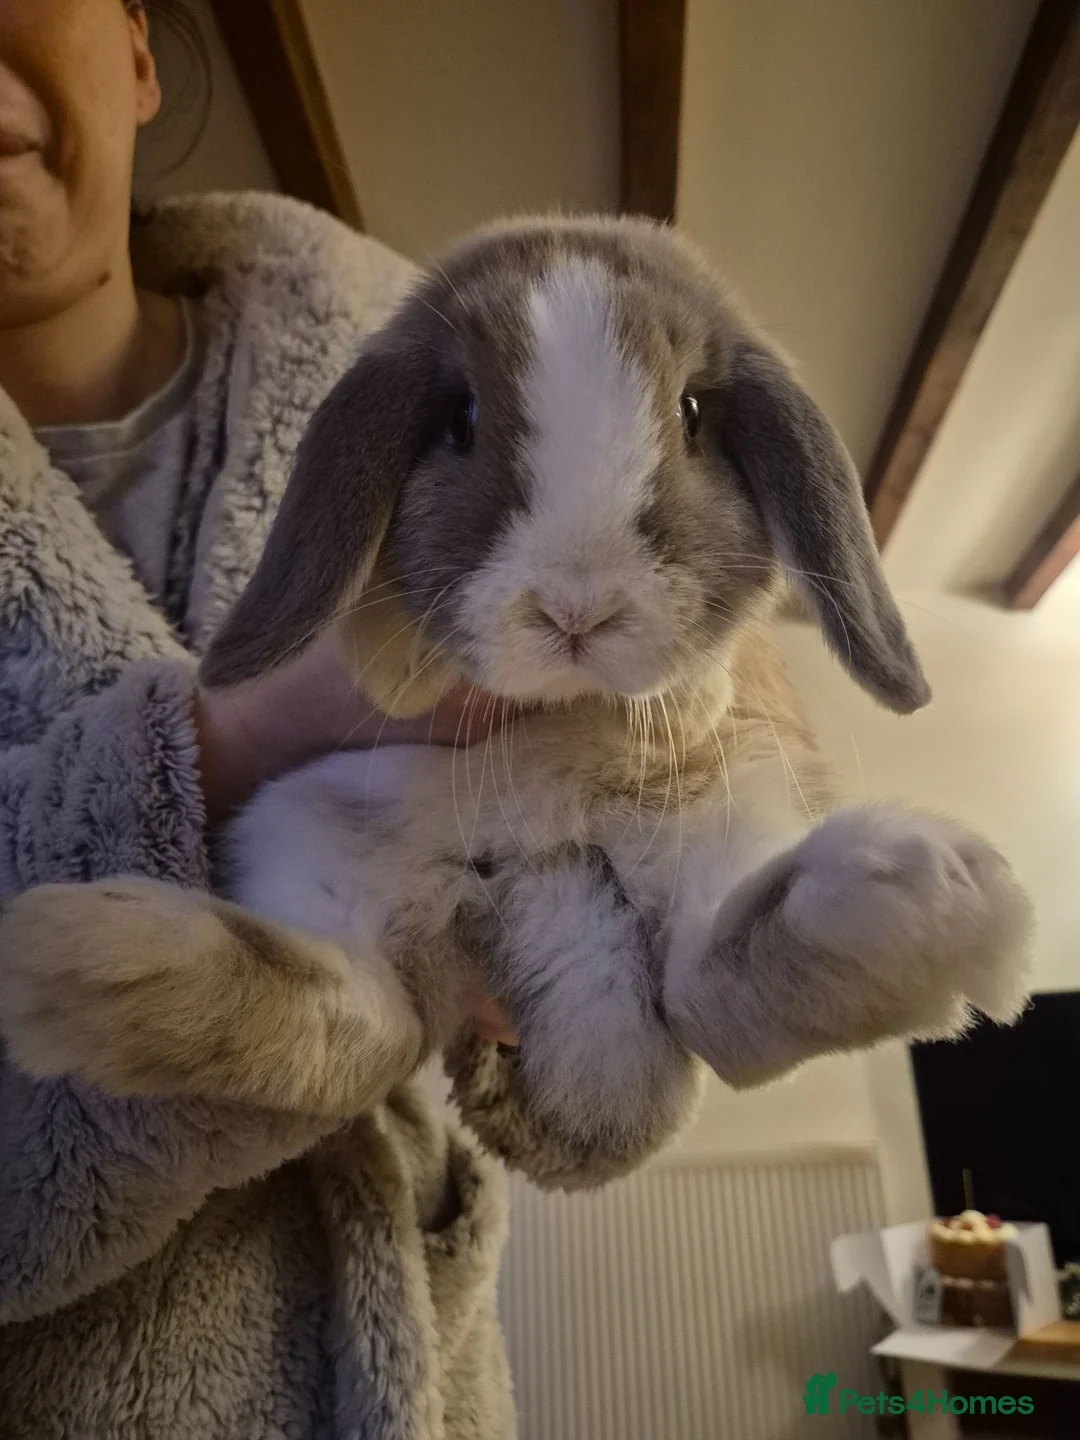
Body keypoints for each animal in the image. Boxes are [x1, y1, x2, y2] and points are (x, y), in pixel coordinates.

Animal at [0, 216, 1034, 1162]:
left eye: (693, 413)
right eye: (460, 419)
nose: (576, 612)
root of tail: (542, 889)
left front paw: (683, 699)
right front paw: (401, 671)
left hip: (720, 810)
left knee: (703, 985)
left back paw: (927, 901)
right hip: (310, 836)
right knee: (359, 1026)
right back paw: (92, 963)